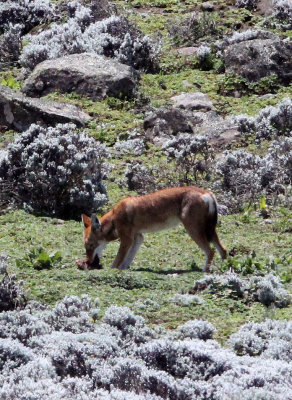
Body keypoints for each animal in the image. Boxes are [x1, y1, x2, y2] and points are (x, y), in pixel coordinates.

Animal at [81, 187, 227, 272]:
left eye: (90, 245)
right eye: (86, 246)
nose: (88, 262)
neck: (113, 218)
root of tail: (208, 193)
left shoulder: (127, 239)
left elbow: (117, 260)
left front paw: (113, 270)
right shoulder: (138, 238)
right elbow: (128, 259)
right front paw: (124, 269)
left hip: (193, 231)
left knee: (211, 251)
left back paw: (205, 271)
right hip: (209, 232)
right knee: (223, 251)